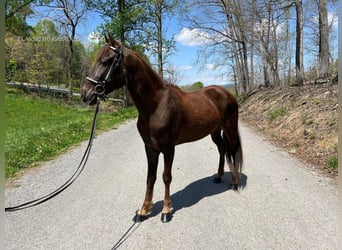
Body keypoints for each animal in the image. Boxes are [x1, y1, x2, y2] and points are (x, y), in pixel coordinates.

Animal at [80, 33, 243, 223]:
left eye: (106, 61)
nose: (85, 94)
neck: (156, 105)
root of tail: (226, 93)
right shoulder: (150, 148)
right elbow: (150, 178)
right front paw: (143, 210)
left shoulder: (168, 148)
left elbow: (166, 177)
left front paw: (166, 210)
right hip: (215, 131)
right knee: (222, 149)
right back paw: (218, 176)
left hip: (230, 128)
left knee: (232, 149)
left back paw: (234, 182)